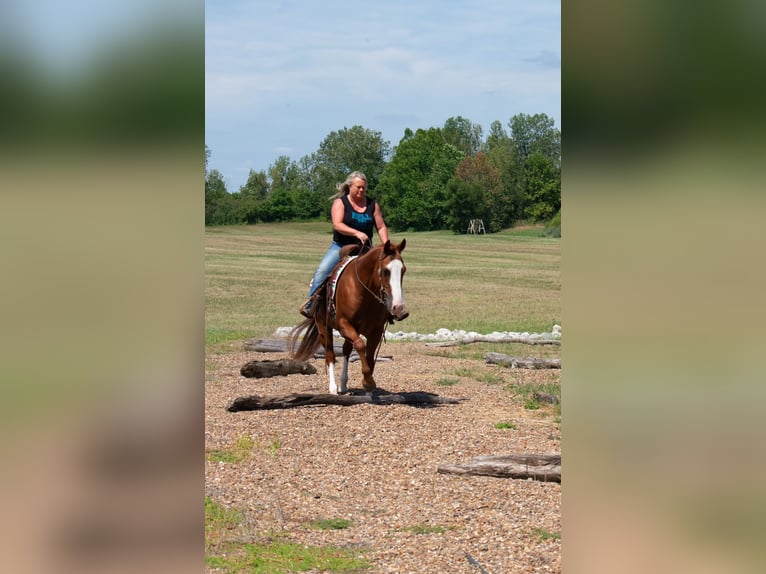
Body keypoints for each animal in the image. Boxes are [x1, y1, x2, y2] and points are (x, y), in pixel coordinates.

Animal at [290, 240, 408, 396]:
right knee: (330, 354)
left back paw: (343, 384)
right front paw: (368, 381)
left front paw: (368, 383)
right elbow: (360, 345)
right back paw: (333, 387)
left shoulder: (376, 331)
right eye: (385, 271)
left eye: (403, 270)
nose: (398, 307)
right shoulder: (344, 324)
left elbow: (369, 355)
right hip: (323, 327)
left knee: (346, 350)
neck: (364, 292)